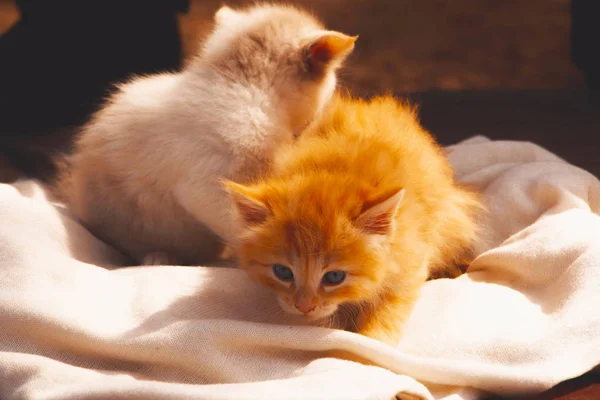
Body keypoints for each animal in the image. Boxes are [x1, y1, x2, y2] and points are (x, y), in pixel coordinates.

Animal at [223, 94, 480, 344]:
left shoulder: (411, 260)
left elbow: (389, 308)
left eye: (334, 277)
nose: (304, 307)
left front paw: (372, 342)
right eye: (282, 272)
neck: (337, 170)